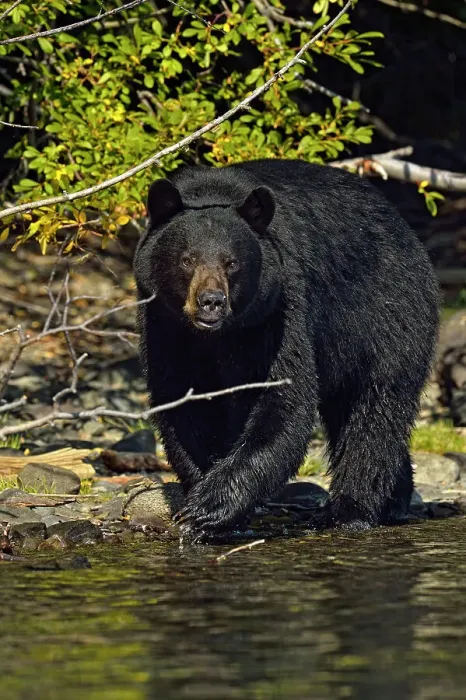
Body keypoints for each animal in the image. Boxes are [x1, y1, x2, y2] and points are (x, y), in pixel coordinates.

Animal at [133, 158, 440, 539]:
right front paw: (205, 499)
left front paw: (210, 507)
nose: (211, 302)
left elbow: (283, 399)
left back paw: (349, 510)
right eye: (187, 259)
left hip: (387, 316)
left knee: (375, 410)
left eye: (231, 262)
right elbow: (183, 402)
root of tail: (407, 231)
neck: (219, 335)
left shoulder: (278, 310)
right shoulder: (165, 325)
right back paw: (395, 500)